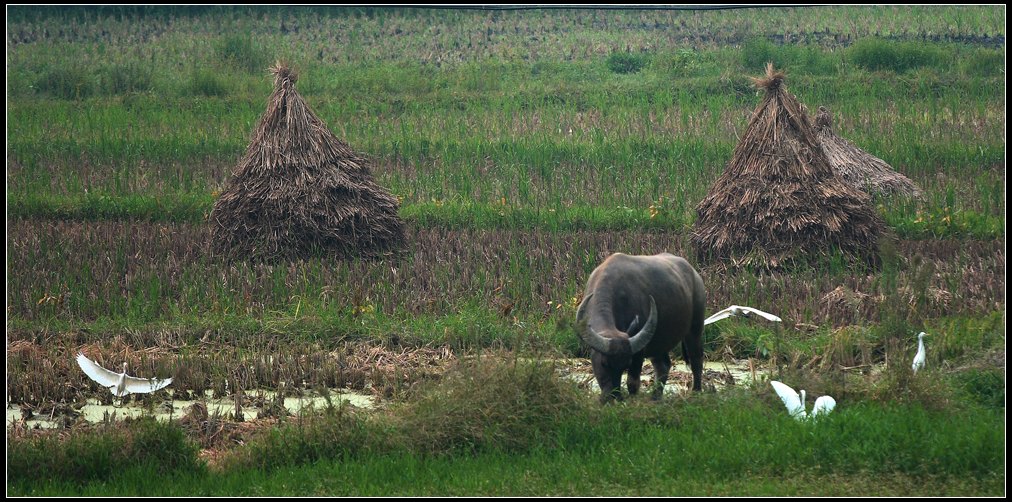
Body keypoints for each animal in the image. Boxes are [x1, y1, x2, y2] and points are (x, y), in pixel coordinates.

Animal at [574, 253, 708, 402]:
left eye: (625, 365)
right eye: (604, 363)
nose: (614, 396)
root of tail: (695, 275)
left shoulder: (638, 352)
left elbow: (632, 382)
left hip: (695, 328)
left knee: (696, 358)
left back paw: (696, 391)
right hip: (658, 341)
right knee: (663, 365)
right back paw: (655, 396)